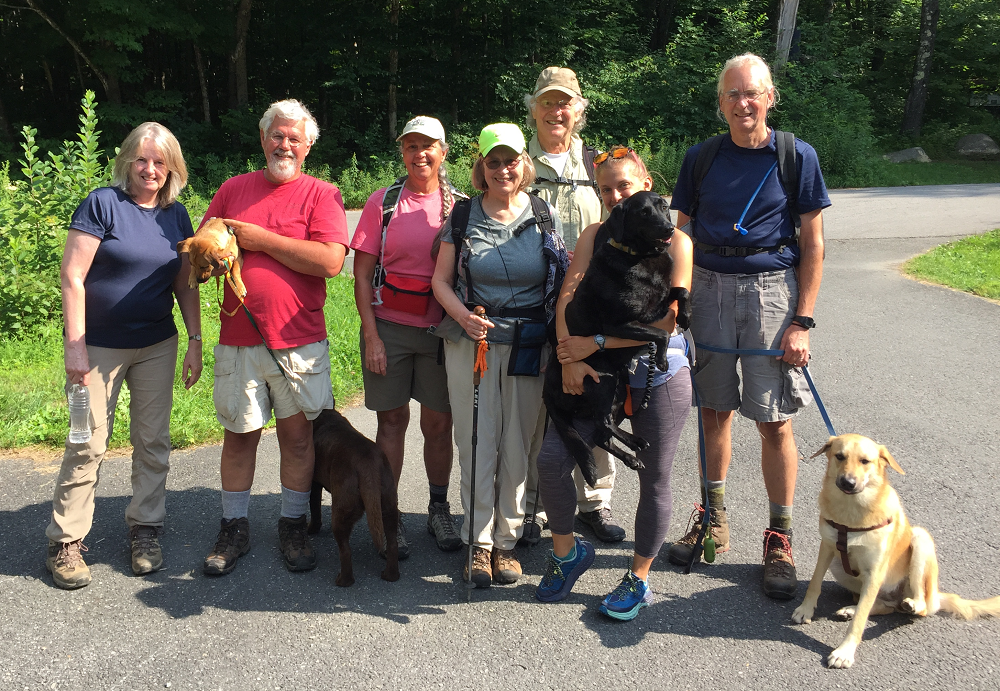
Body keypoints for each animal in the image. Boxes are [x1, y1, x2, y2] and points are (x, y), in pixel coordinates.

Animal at [544, 192, 692, 490]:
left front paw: (686, 315)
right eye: (643, 213)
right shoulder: (620, 324)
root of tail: (546, 391)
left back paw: (633, 450)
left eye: (664, 207)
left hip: (619, 391)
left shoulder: (659, 304)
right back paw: (634, 447)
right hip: (605, 378)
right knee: (602, 424)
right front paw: (661, 359)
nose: (669, 229)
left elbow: (680, 291)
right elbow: (661, 333)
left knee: (601, 434)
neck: (640, 256)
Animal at [788, 436, 1000, 668]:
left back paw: (911, 605)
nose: (847, 483)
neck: (852, 511)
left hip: (921, 539)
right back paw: (852, 609)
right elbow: (815, 583)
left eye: (865, 461)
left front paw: (845, 651)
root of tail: (934, 596)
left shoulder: (875, 572)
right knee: (882, 605)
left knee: (918, 606)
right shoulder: (826, 547)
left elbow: (860, 620)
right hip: (840, 568)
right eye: (840, 456)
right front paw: (806, 609)